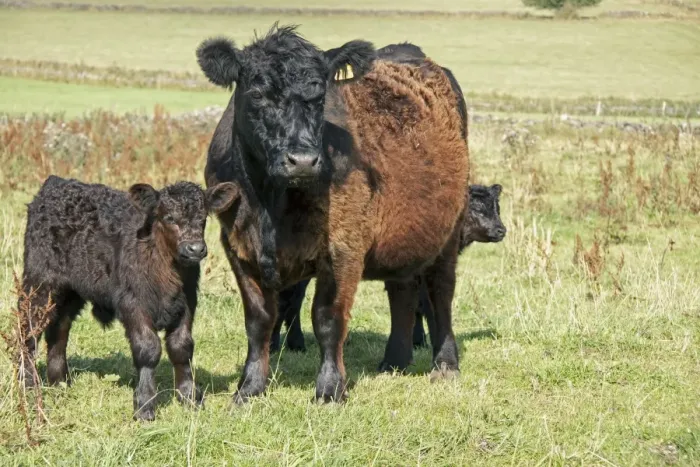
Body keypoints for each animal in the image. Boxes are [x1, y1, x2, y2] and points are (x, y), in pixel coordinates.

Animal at [19, 175, 238, 421]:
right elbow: (148, 348)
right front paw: (145, 406)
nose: (195, 249)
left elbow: (181, 347)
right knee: (29, 329)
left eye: (203, 219)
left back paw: (60, 382)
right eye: (169, 217)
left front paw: (190, 398)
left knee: (59, 329)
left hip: (70, 291)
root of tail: (55, 182)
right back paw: (28, 384)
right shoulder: (133, 303)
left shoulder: (187, 302)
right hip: (39, 282)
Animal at [198, 25, 469, 403]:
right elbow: (259, 319)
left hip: (448, 230)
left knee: (439, 292)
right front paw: (249, 388)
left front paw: (329, 389)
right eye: (257, 93)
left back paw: (444, 365)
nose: (302, 161)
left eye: (320, 96)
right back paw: (394, 361)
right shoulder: (237, 244)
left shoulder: (344, 246)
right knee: (402, 291)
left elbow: (328, 318)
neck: (270, 204)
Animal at [270, 183, 506, 353]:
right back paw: (281, 345)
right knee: (287, 302)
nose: (501, 230)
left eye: (497, 208)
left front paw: (418, 341)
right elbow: (424, 306)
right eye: (478, 209)